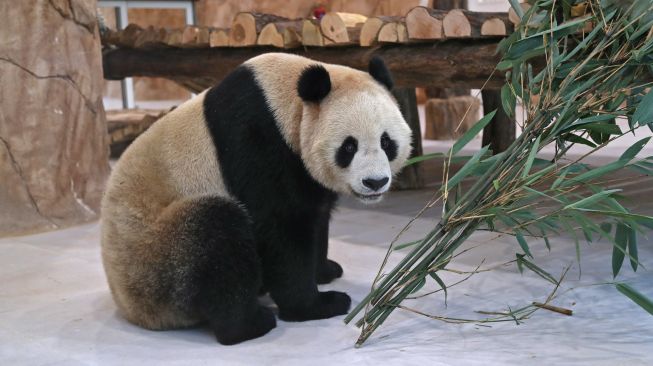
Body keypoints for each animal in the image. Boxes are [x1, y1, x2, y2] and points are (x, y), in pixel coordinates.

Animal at [100, 53, 410, 344]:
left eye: (386, 142)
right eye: (349, 147)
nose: (375, 182)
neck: (286, 104)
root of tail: (129, 307)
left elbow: (316, 214)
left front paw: (324, 270)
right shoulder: (257, 141)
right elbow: (281, 227)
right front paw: (316, 305)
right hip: (156, 257)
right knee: (214, 238)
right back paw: (250, 324)